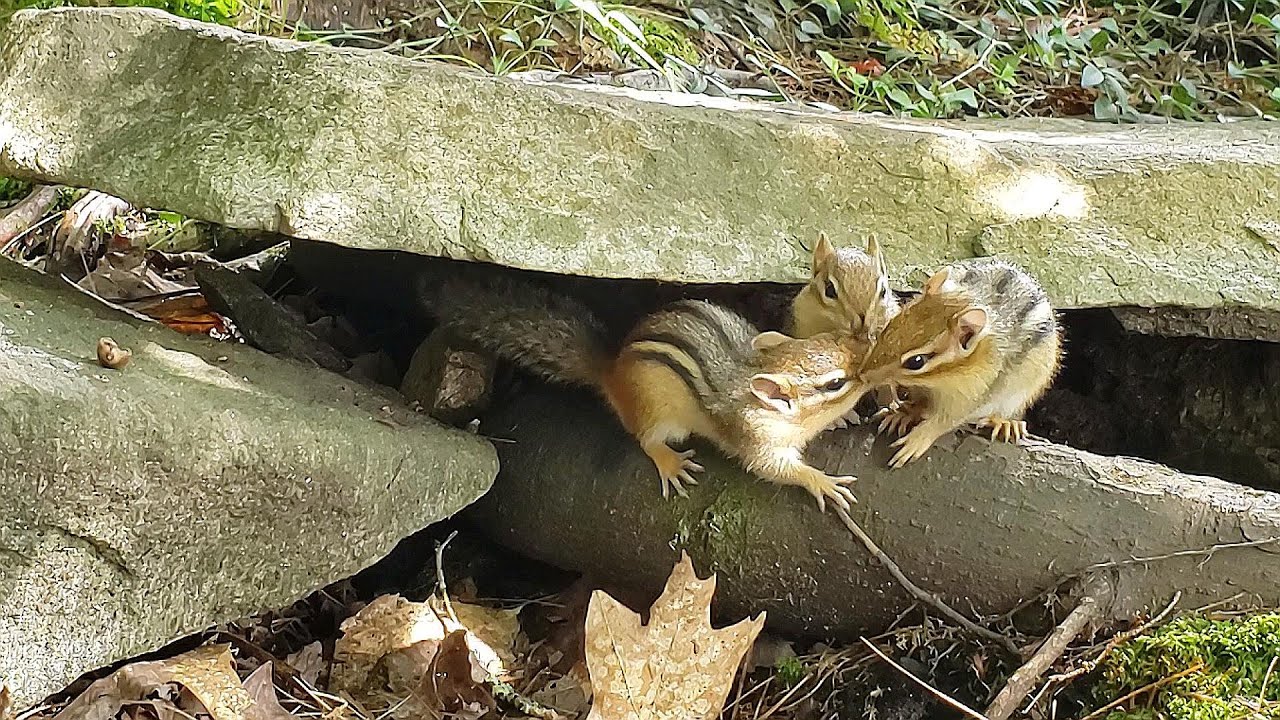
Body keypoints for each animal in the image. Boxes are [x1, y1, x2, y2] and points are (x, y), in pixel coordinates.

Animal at [417, 266, 870, 512]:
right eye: (835, 382)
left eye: (832, 342)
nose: (868, 365)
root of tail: (612, 372)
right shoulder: (756, 440)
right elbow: (774, 469)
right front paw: (821, 481)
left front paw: (839, 421)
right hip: (657, 412)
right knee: (646, 439)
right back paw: (669, 462)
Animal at [858, 257, 1062, 469]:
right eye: (890, 327)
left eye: (916, 361)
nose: (862, 374)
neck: (939, 381)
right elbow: (919, 403)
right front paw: (905, 413)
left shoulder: (974, 393)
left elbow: (945, 420)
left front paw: (917, 440)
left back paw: (1004, 422)